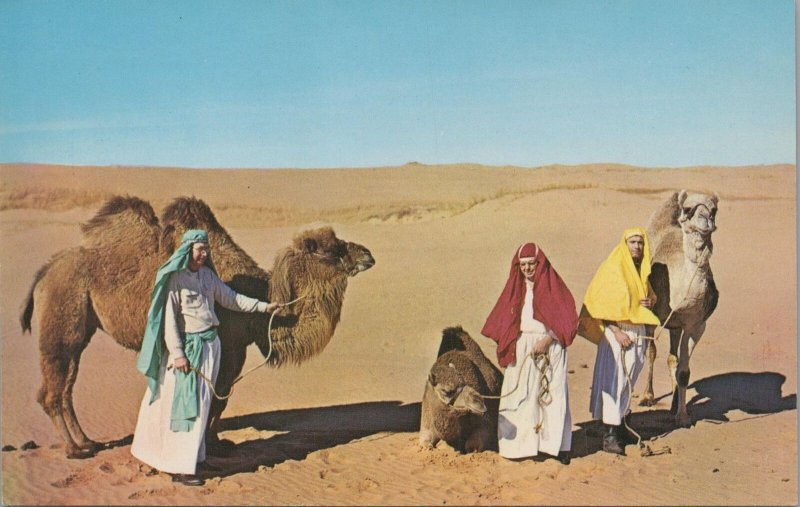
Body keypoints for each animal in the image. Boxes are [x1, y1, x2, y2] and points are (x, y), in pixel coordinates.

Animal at [18, 196, 376, 458]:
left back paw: (87, 442)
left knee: (65, 386)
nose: (368, 254)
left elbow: (223, 398)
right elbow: (217, 399)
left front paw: (216, 442)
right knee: (53, 389)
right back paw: (75, 450)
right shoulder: (230, 346)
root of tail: (45, 271)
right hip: (62, 314)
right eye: (333, 250)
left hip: (81, 328)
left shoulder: (235, 350)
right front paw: (208, 446)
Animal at [636, 190, 720, 428]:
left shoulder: (696, 325)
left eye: (713, 209)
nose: (706, 219)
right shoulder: (653, 315)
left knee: (672, 358)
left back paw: (673, 403)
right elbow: (651, 352)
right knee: (653, 352)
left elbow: (684, 371)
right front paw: (649, 397)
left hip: (676, 326)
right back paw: (648, 396)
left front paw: (682, 416)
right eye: (688, 209)